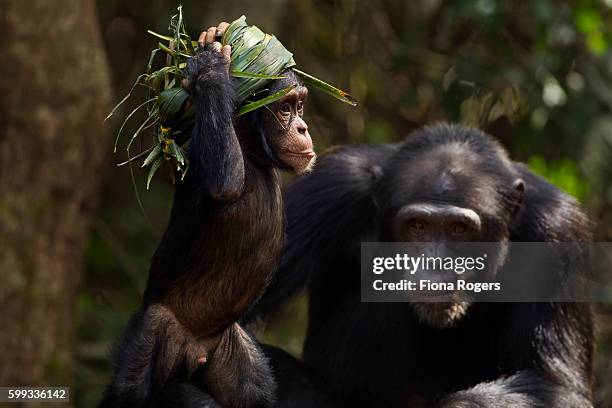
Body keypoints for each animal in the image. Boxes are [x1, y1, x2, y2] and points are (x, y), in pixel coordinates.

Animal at [100, 23, 316, 408]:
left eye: (300, 105)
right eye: (285, 109)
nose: (303, 127)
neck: (253, 153)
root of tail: (192, 352)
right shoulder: (198, 152)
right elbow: (222, 183)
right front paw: (210, 66)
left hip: (227, 348)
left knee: (254, 390)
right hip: (149, 333)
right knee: (129, 388)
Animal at [250, 122, 592, 406]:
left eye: (459, 229)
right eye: (417, 225)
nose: (436, 264)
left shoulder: (557, 231)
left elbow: (555, 384)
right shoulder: (326, 190)